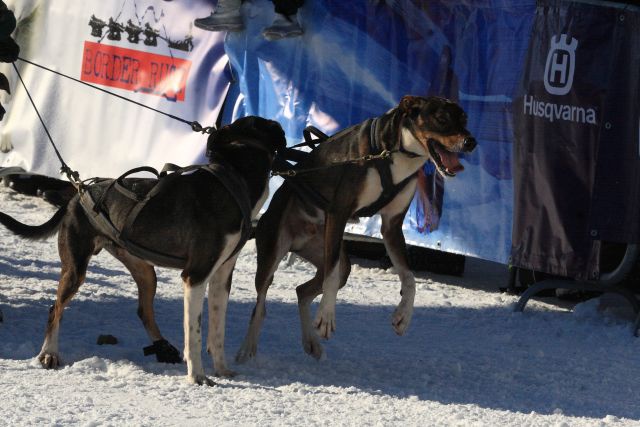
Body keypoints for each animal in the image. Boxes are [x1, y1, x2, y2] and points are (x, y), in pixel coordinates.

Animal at [0, 115, 284, 386]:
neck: (233, 182)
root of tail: (77, 195)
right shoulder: (195, 275)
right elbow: (194, 334)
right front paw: (197, 377)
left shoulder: (221, 277)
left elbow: (217, 331)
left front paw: (222, 370)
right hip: (75, 269)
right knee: (55, 308)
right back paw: (49, 353)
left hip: (145, 271)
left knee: (143, 311)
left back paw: (163, 349)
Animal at [235, 95, 476, 362]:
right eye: (442, 118)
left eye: (464, 119)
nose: (471, 142)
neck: (391, 154)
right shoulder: (338, 213)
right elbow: (329, 281)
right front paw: (326, 317)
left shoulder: (392, 226)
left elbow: (409, 279)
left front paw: (403, 315)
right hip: (274, 253)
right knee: (260, 304)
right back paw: (247, 347)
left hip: (340, 262)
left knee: (301, 291)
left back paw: (311, 342)